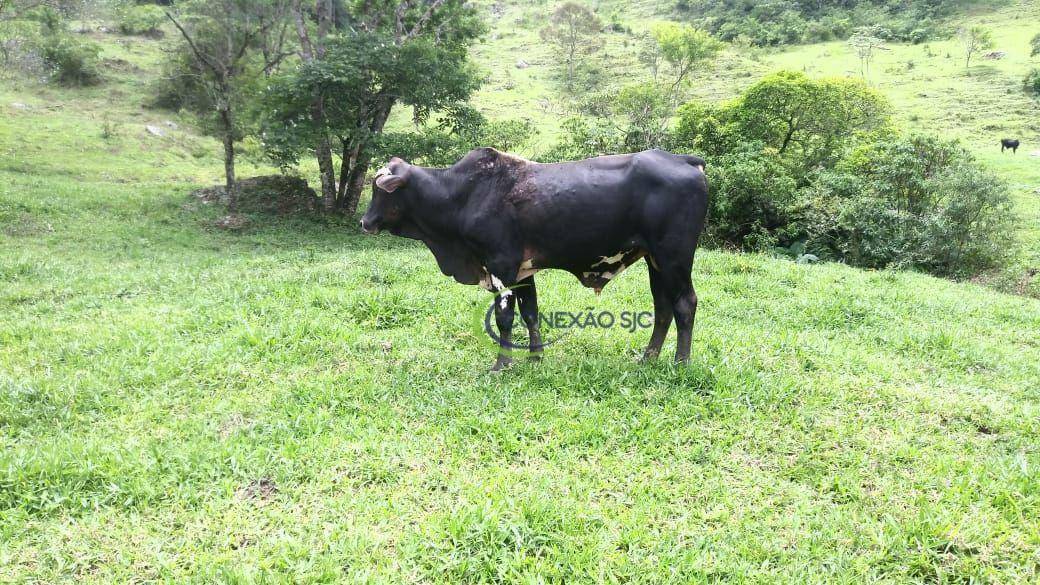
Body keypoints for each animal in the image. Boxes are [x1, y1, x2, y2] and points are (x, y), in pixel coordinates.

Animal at [361, 147, 711, 370]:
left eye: (380, 190)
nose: (365, 222)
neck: (462, 195)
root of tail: (682, 159)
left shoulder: (500, 266)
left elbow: (504, 319)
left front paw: (502, 364)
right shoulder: (523, 272)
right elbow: (531, 313)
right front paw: (535, 357)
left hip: (674, 258)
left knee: (685, 304)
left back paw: (681, 363)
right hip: (655, 261)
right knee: (663, 307)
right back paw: (648, 358)